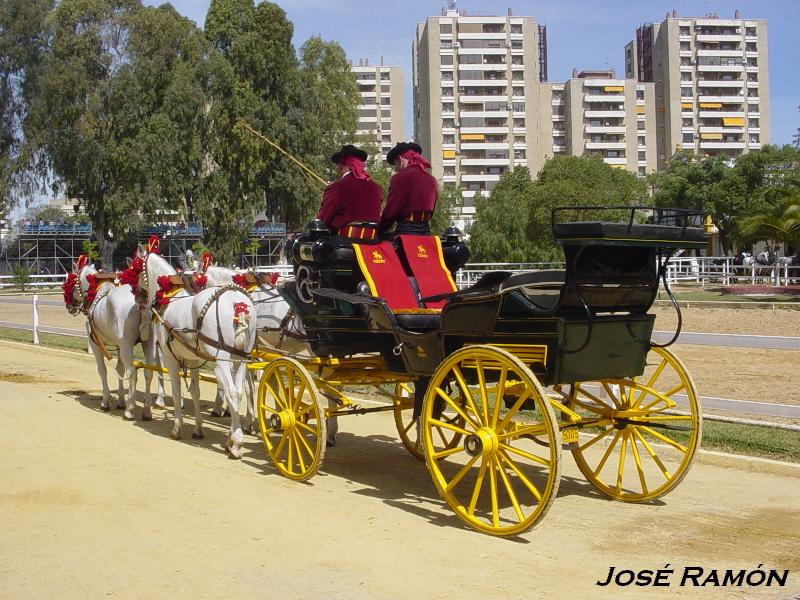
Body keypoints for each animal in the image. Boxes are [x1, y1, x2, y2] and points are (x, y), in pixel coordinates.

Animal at [65, 258, 166, 422]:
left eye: (72, 281)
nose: (69, 306)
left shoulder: (95, 344)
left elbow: (103, 371)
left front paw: (106, 402)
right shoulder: (119, 346)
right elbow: (119, 369)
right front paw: (120, 401)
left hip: (127, 346)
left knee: (132, 372)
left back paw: (130, 410)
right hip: (148, 343)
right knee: (148, 372)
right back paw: (146, 410)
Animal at [135, 246, 256, 458]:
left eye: (137, 272)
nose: (137, 297)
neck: (169, 296)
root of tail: (238, 303)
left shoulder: (170, 357)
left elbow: (176, 391)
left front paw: (177, 427)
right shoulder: (192, 359)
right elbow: (195, 391)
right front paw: (198, 429)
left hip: (222, 360)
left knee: (232, 392)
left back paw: (236, 443)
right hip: (241, 359)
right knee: (240, 392)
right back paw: (231, 438)